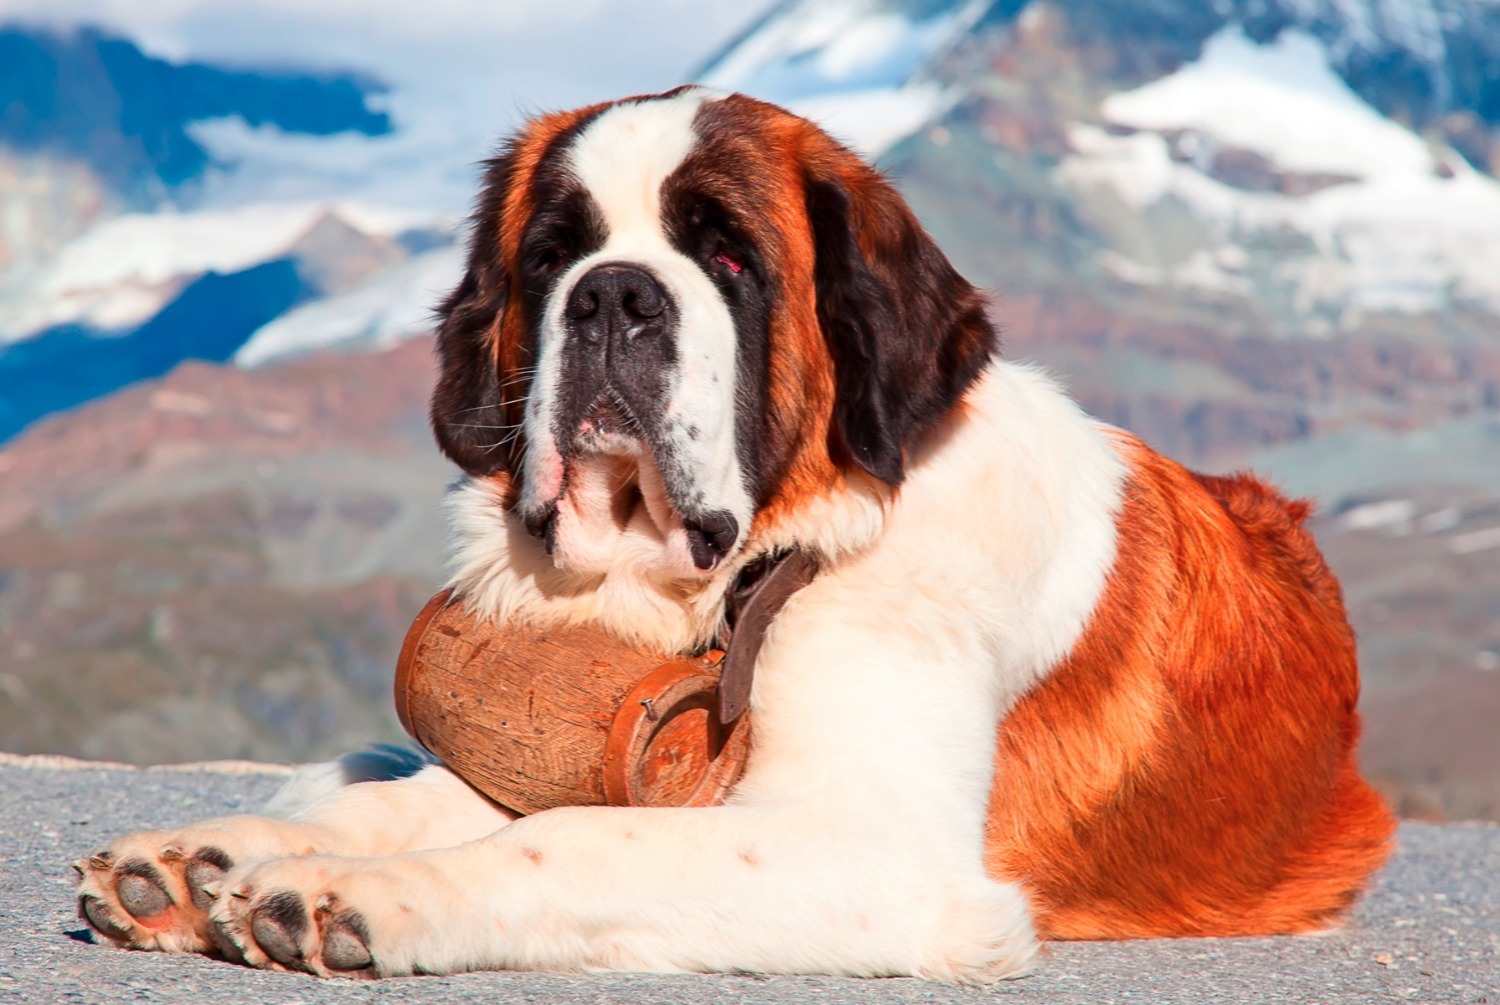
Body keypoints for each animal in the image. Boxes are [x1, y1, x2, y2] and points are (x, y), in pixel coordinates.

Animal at [76, 86, 1392, 984]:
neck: (736, 577)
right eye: (551, 256)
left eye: (726, 255)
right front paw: (216, 859)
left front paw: (350, 895)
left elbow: (575, 840)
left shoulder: (875, 849)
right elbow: (436, 793)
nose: (613, 294)